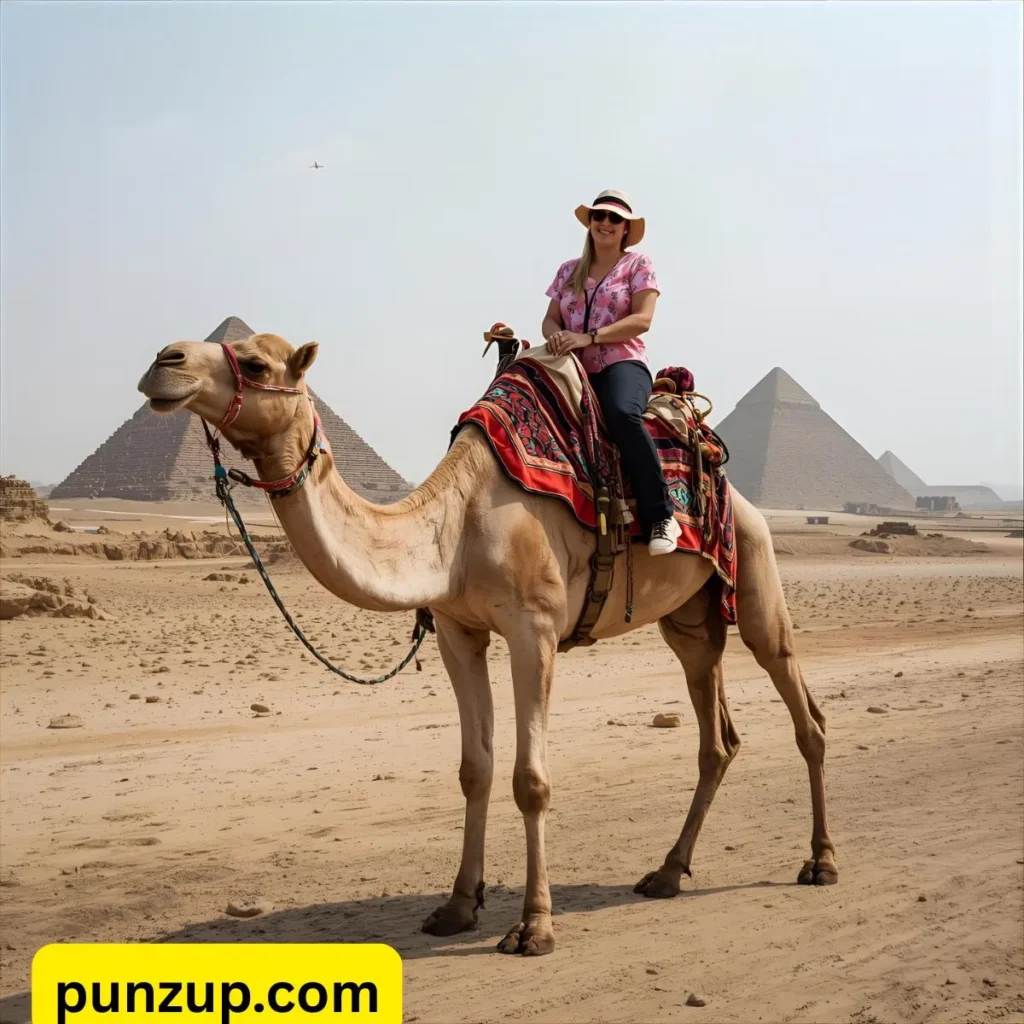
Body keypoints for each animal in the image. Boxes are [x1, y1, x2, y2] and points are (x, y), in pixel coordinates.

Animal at [137, 332, 838, 957]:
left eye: (256, 362)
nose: (163, 362)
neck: (455, 529)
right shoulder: (458, 632)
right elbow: (474, 769)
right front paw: (455, 907)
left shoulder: (536, 630)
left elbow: (531, 780)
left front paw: (534, 927)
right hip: (690, 620)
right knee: (716, 734)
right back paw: (667, 872)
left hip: (755, 573)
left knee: (805, 713)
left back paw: (820, 862)